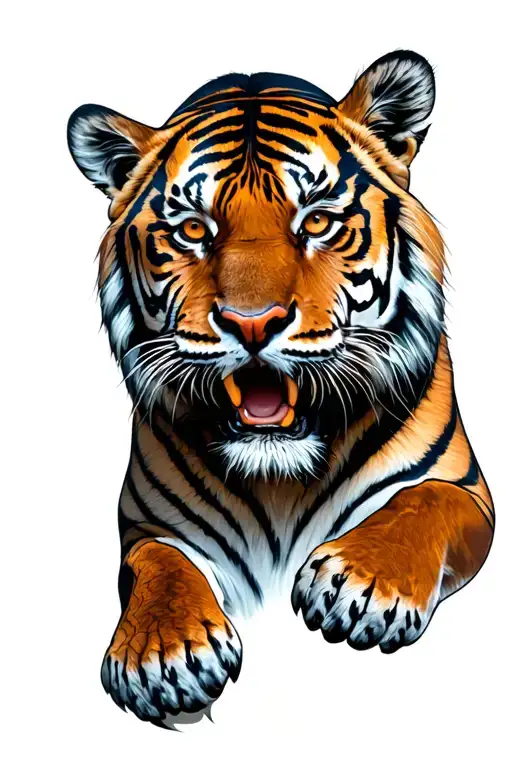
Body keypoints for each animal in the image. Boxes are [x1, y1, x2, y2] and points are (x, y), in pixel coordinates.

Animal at [68, 50, 494, 725]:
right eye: (193, 230)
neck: (279, 480)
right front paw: (161, 654)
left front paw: (359, 584)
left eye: (317, 220)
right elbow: (159, 565)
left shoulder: (466, 488)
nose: (251, 322)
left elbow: (422, 503)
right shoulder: (147, 525)